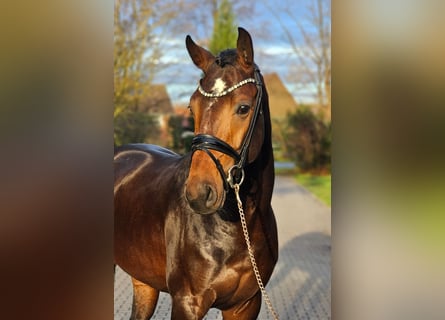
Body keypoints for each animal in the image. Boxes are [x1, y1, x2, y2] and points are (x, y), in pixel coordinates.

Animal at [116, 28, 280, 320]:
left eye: (243, 108)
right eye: (192, 107)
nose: (199, 193)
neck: (239, 224)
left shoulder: (246, 304)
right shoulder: (187, 303)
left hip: (143, 282)